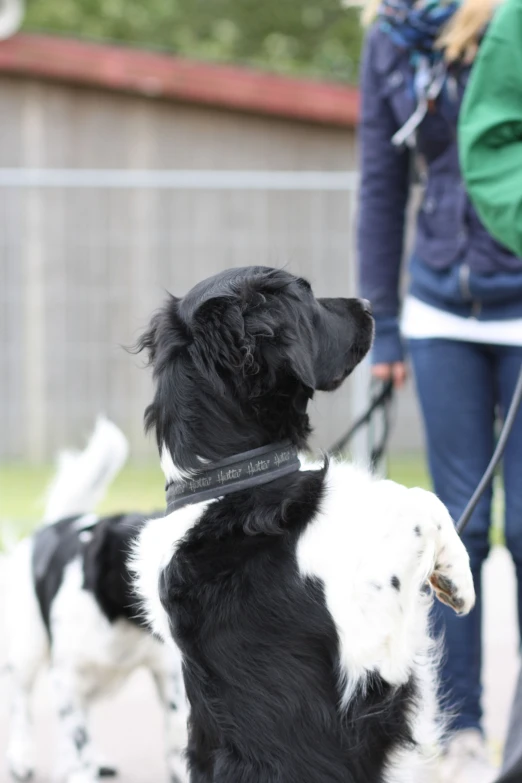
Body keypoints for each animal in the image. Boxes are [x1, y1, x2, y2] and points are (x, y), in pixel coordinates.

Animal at [4, 420, 188, 783]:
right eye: (135, 563)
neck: (121, 623)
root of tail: (53, 524)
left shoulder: (166, 670)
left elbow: (175, 731)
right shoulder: (66, 677)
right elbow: (74, 734)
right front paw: (77, 770)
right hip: (27, 651)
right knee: (21, 703)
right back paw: (22, 757)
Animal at [131, 268, 476, 783]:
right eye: (305, 296)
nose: (370, 305)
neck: (231, 483)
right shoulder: (372, 663)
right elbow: (416, 500)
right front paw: (458, 581)